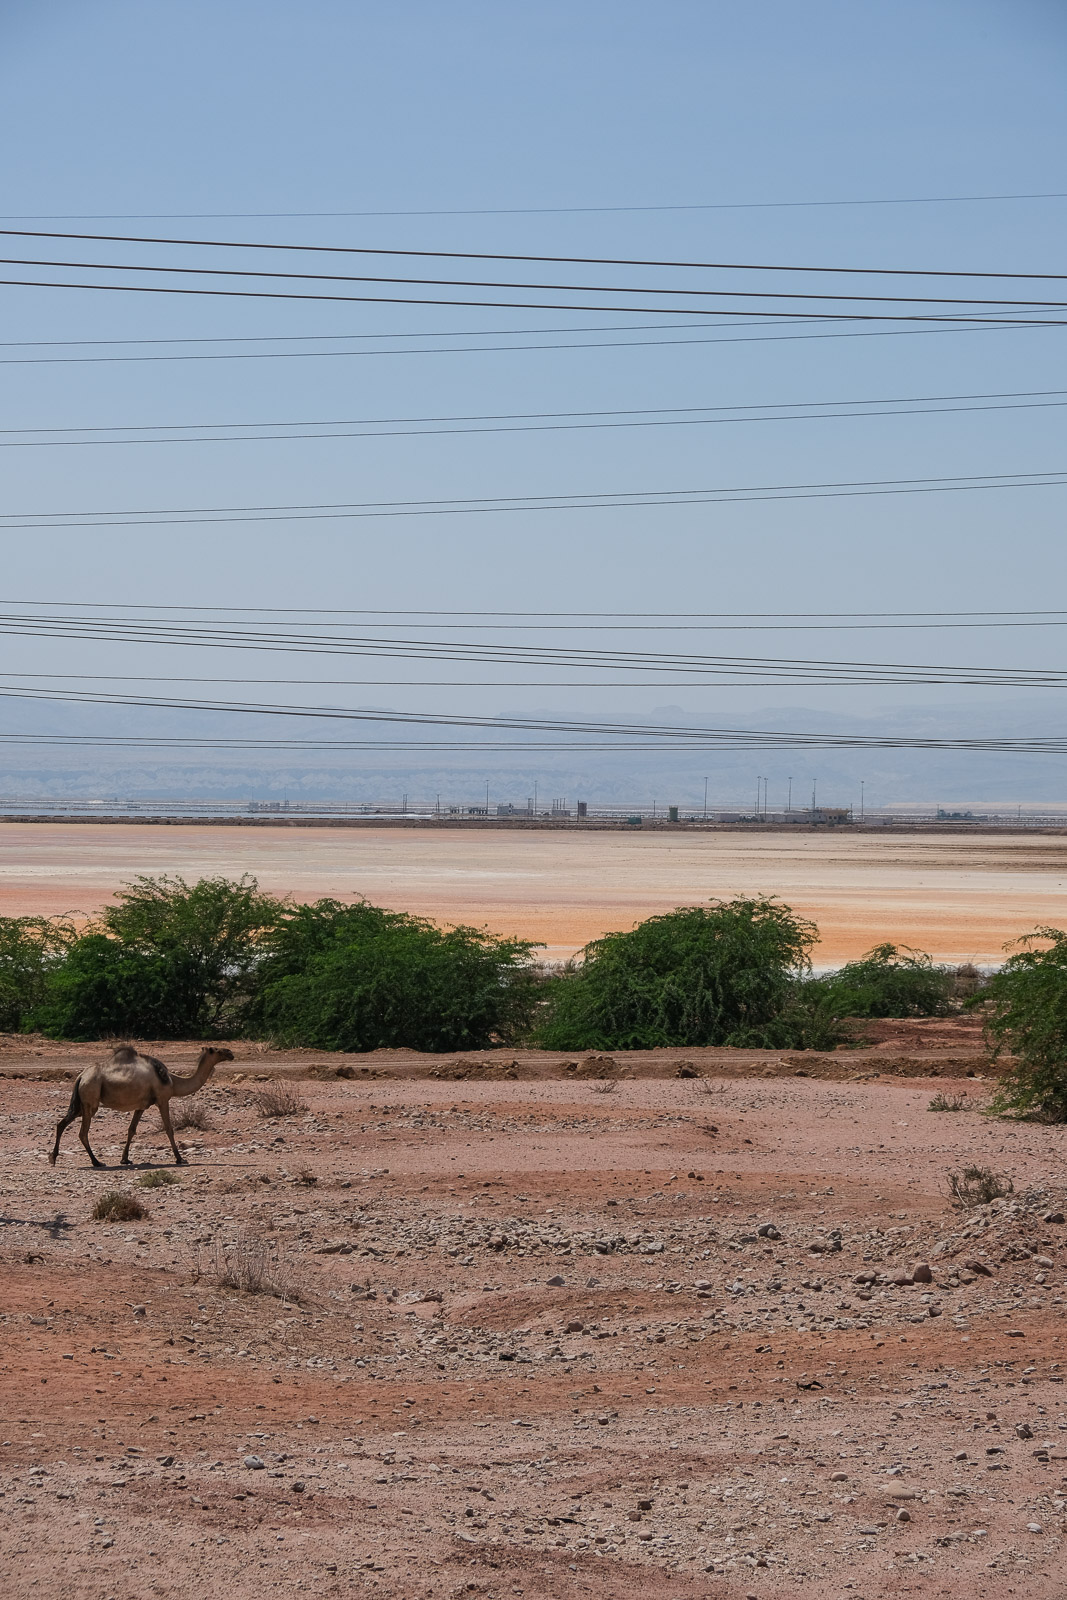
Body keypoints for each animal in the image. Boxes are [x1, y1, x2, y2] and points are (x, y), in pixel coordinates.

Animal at [48, 1045, 234, 1168]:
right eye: (217, 1050)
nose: (231, 1053)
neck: (173, 1082)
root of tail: (81, 1076)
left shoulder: (141, 1106)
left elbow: (131, 1130)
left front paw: (125, 1159)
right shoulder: (163, 1099)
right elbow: (169, 1129)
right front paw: (180, 1159)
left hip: (81, 1103)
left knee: (62, 1123)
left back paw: (53, 1158)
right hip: (90, 1099)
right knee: (83, 1132)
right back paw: (97, 1162)